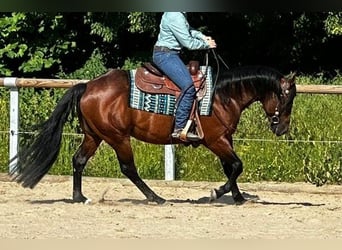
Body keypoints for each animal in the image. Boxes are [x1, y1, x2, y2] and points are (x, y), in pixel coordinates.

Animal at [10, 64, 296, 205]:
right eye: (286, 96)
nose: (281, 128)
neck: (222, 96)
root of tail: (87, 86)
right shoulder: (216, 140)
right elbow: (236, 165)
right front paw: (217, 193)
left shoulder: (224, 140)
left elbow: (231, 167)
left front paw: (237, 197)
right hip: (118, 138)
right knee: (129, 168)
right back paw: (155, 197)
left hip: (95, 136)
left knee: (78, 161)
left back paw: (79, 197)